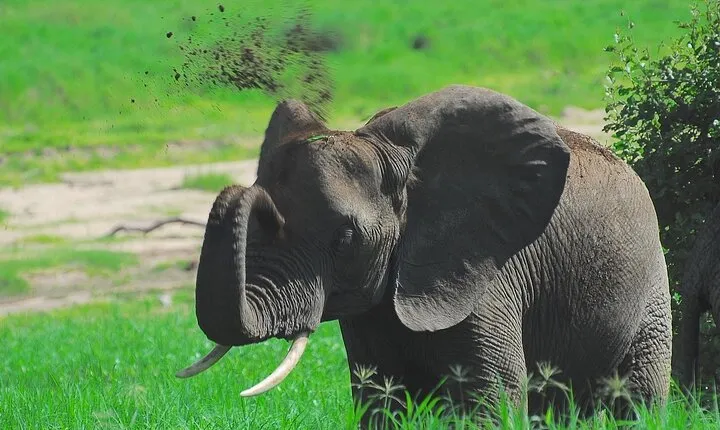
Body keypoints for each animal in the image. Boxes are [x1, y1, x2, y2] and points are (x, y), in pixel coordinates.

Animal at [175, 85, 672, 419]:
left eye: (345, 239)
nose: (247, 192)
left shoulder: (480, 274)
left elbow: (491, 397)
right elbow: (381, 398)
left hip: (652, 288)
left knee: (637, 398)